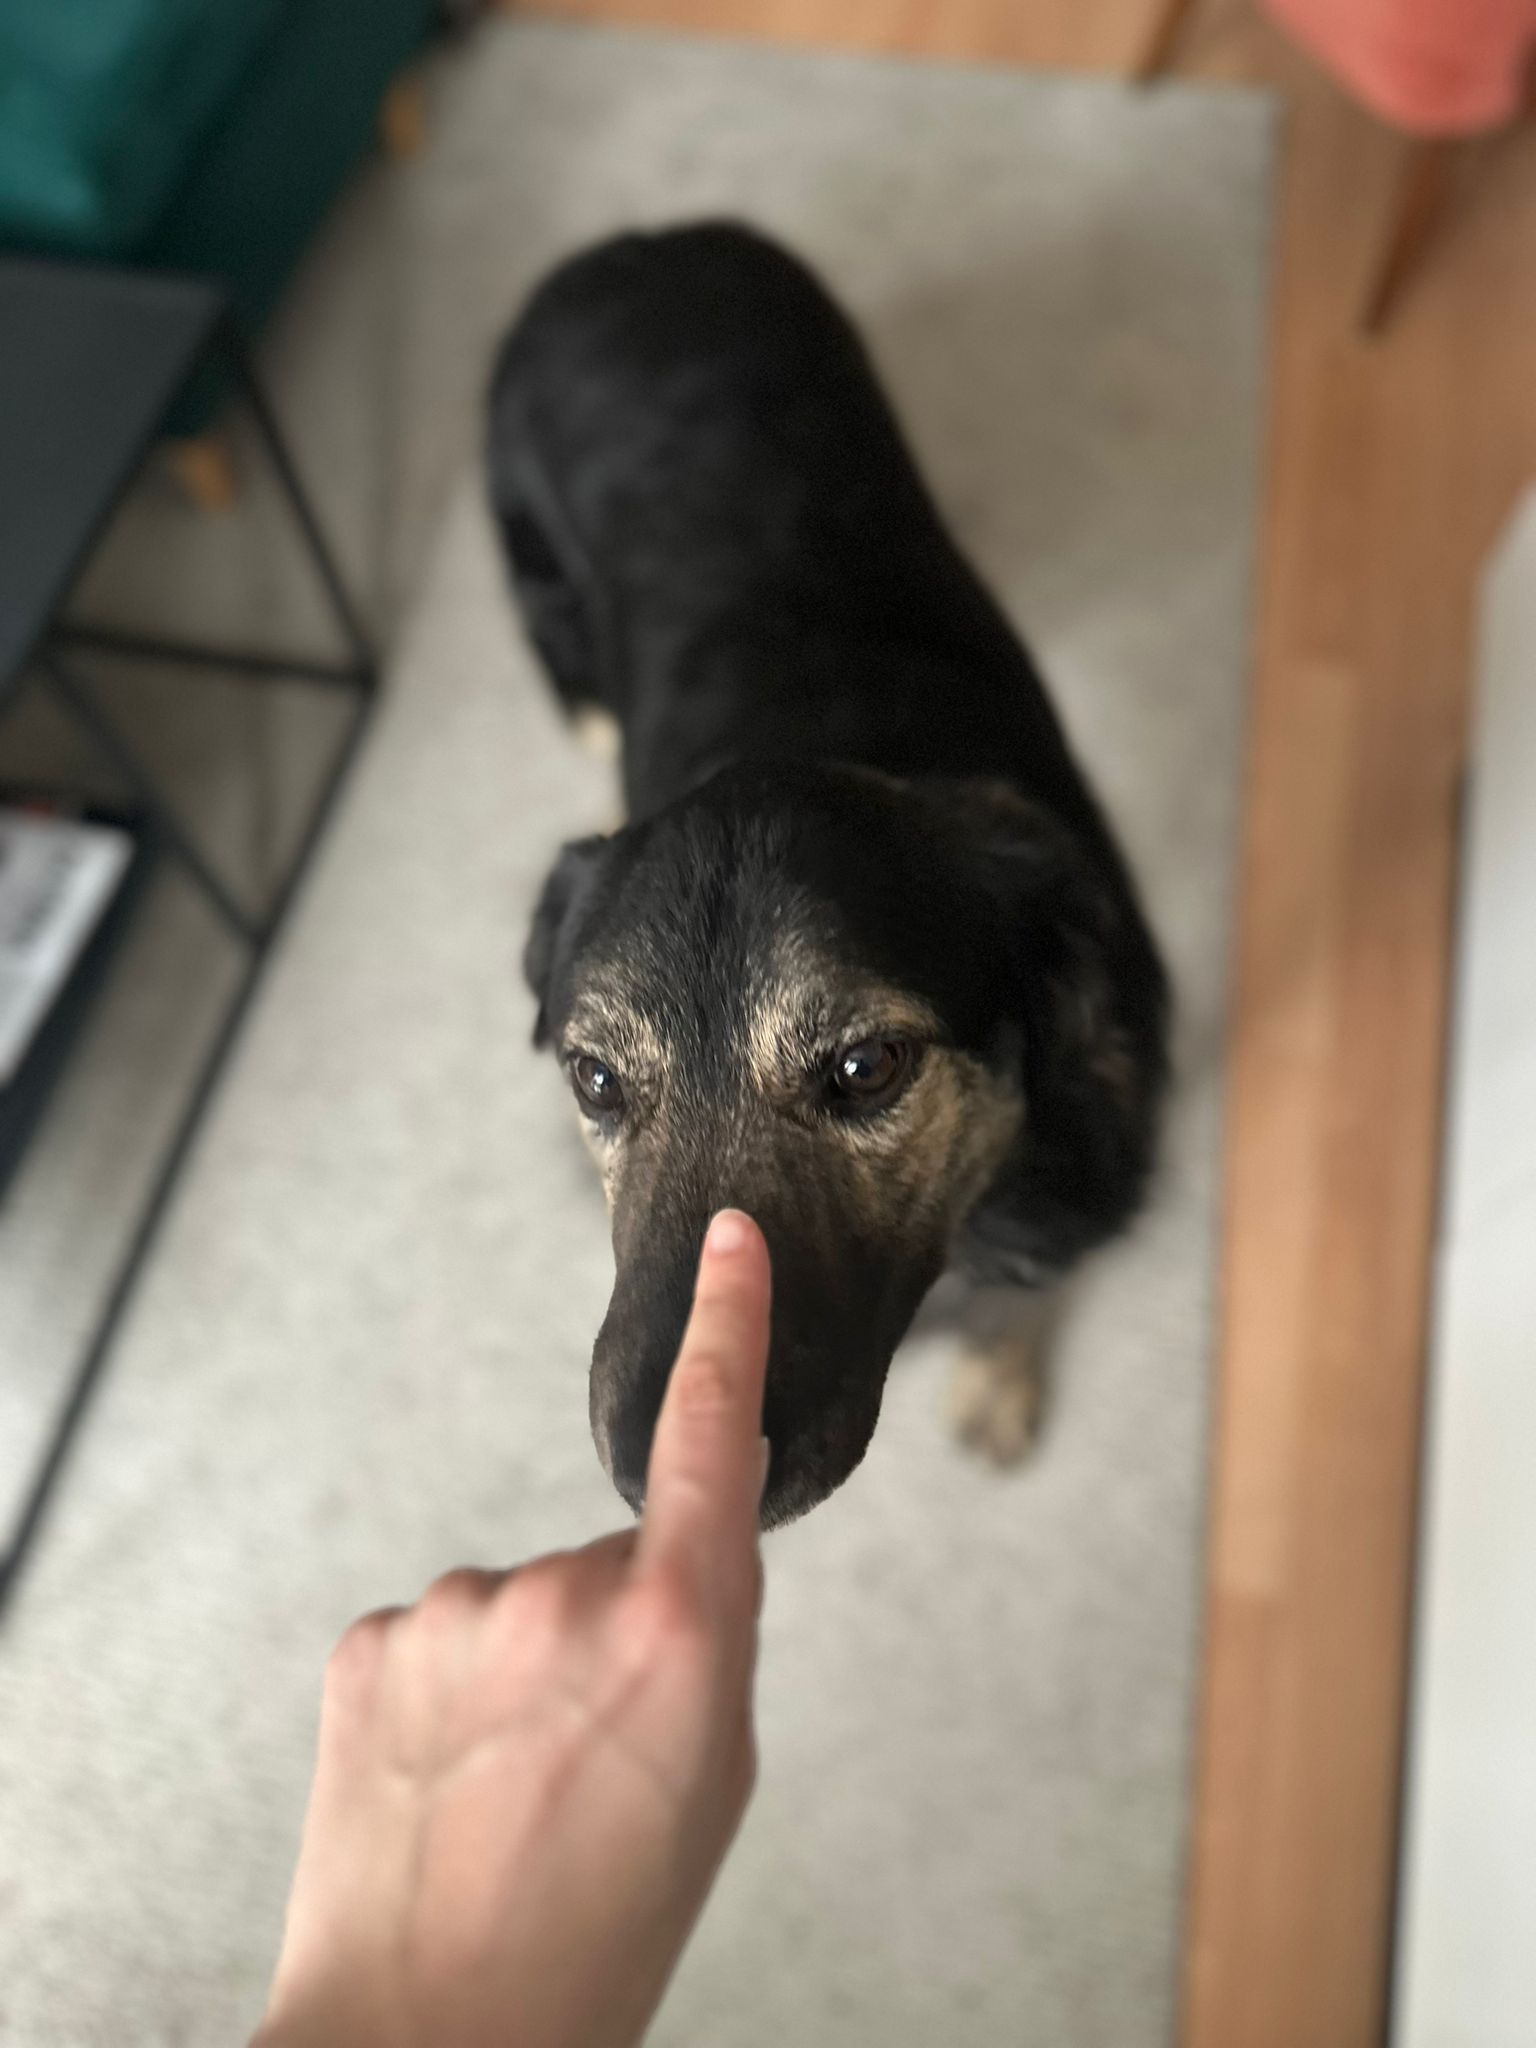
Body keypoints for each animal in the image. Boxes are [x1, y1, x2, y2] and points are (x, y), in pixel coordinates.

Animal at [487, 222, 1169, 1527]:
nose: (658, 1475)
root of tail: (634, 246)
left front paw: (997, 1378)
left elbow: (1027, 1282)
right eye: (596, 1080)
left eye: (867, 1066)